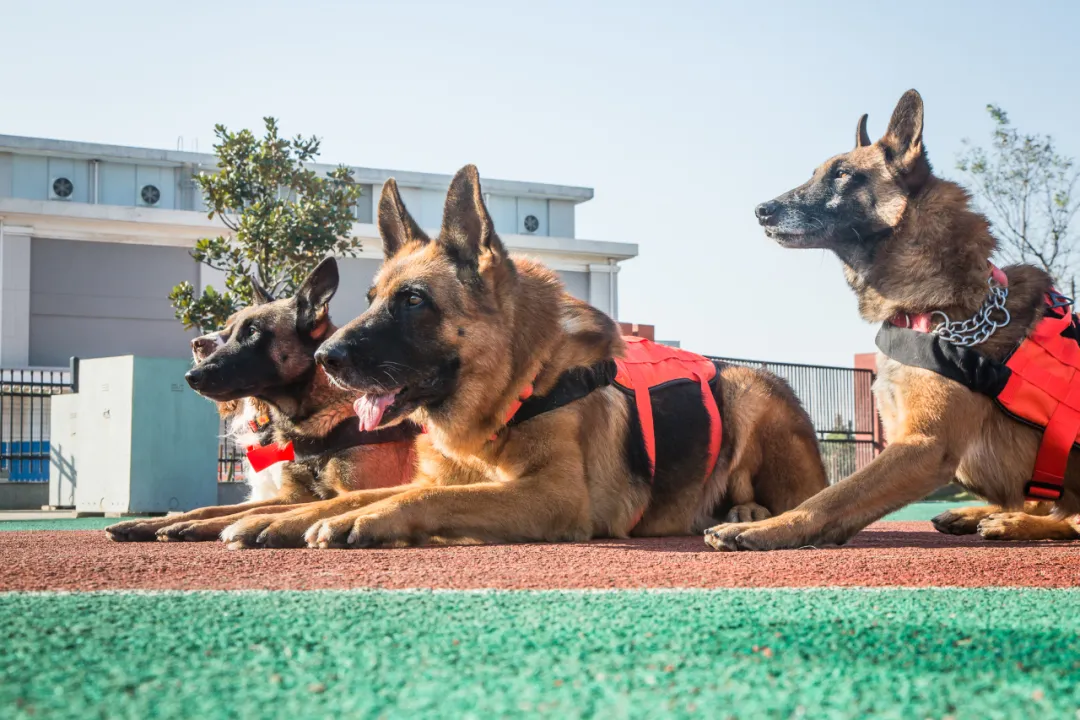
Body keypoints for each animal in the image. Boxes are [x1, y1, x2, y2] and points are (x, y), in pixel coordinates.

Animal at [104, 259, 416, 546]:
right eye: (230, 332)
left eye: (253, 331)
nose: (191, 376)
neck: (321, 418)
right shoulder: (289, 494)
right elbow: (216, 508)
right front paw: (154, 522)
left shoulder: (350, 491)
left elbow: (260, 511)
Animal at [708, 90, 1080, 552]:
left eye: (843, 175)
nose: (761, 210)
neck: (939, 310)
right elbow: (840, 498)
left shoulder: (923, 445)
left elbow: (831, 496)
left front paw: (769, 527)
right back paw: (981, 514)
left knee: (1068, 520)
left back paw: (1011, 523)